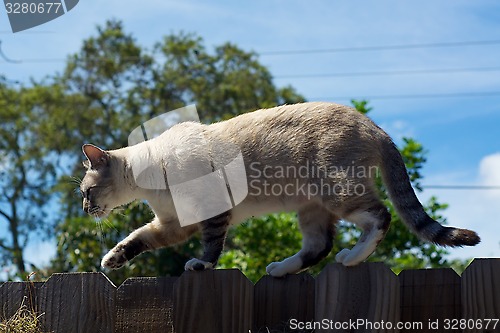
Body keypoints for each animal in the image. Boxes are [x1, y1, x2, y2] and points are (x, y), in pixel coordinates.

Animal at [79, 100, 480, 274]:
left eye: (86, 192)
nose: (84, 210)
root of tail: (376, 127)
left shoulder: (210, 212)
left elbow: (211, 247)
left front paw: (199, 265)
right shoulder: (173, 225)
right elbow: (138, 238)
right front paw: (110, 261)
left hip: (335, 190)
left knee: (379, 217)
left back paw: (351, 257)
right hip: (311, 208)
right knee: (319, 246)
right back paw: (280, 268)